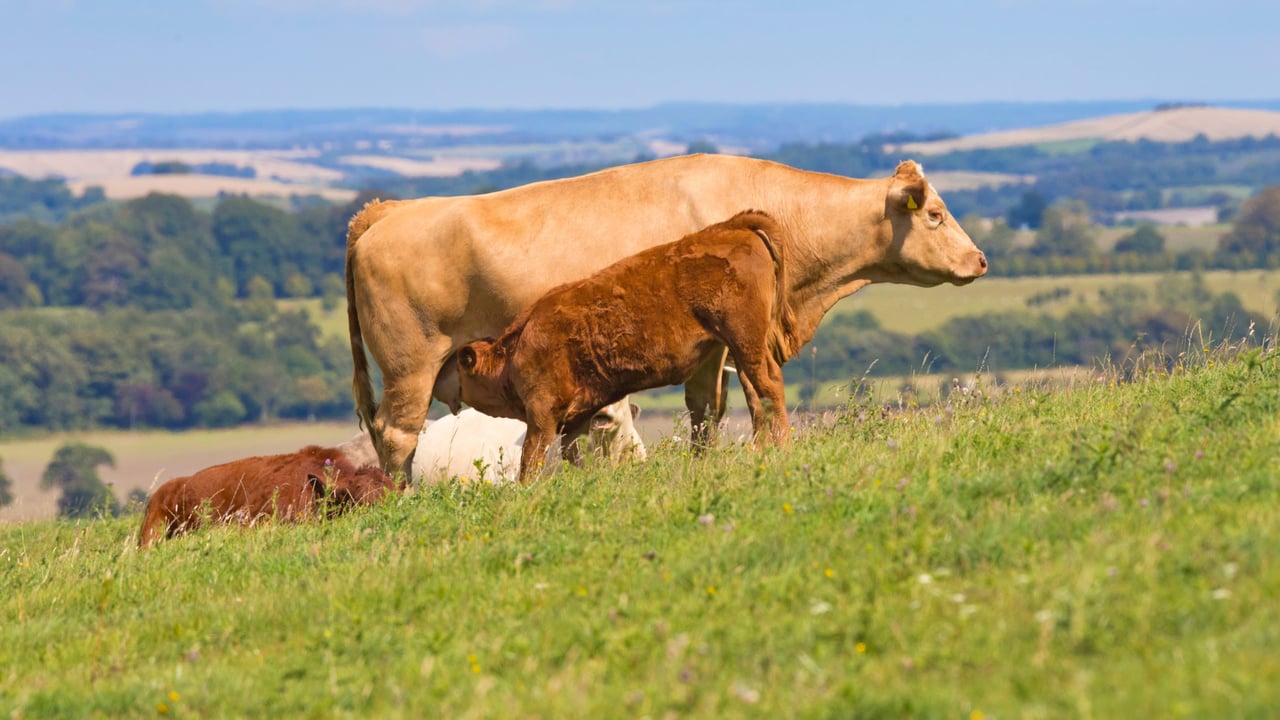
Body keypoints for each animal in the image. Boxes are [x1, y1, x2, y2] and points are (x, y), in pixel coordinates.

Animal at [456, 211, 798, 482]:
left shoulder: (541, 413)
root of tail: (729, 226)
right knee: (756, 394)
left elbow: (531, 459)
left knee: (769, 386)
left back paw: (782, 448)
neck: (516, 348)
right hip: (742, 349)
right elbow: (574, 455)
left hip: (745, 340)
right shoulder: (577, 416)